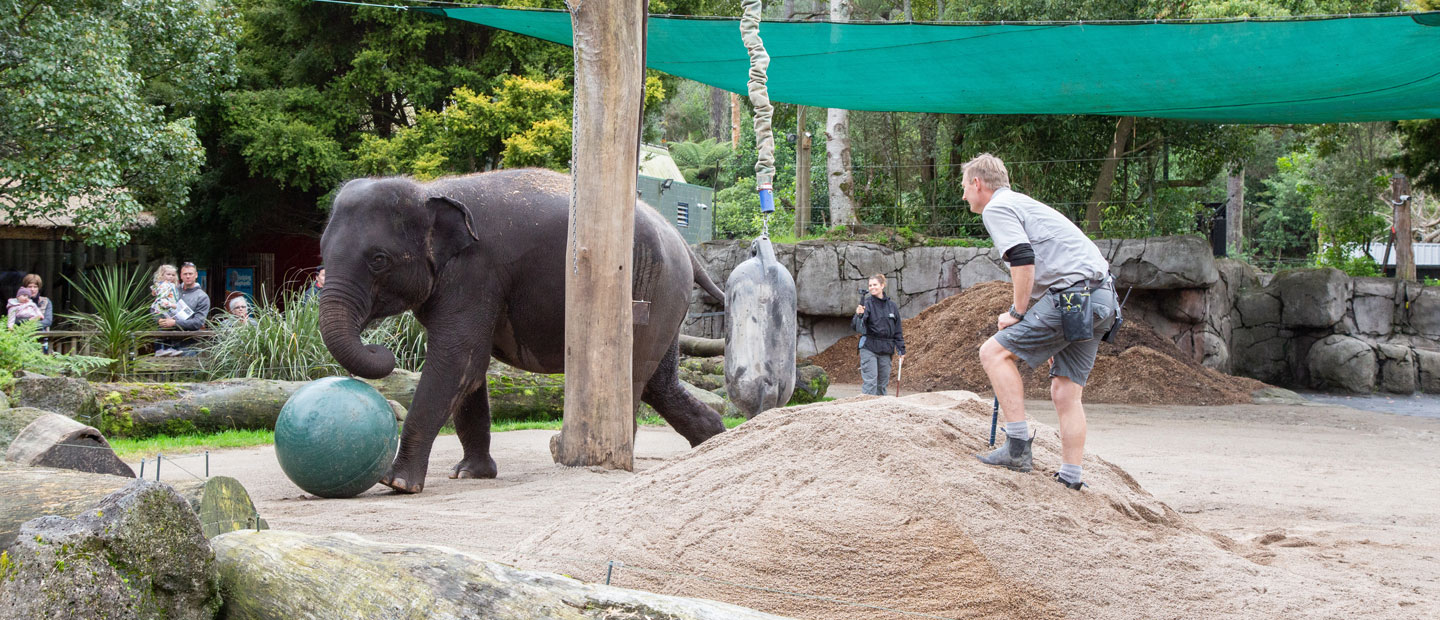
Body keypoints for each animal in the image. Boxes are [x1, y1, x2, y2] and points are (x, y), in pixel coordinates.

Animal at [318, 168, 727, 493]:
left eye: (378, 260)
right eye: (321, 251)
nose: (381, 350)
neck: (428, 190)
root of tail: (685, 245)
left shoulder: (474, 272)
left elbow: (458, 359)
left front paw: (397, 484)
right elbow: (470, 369)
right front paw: (471, 475)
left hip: (653, 290)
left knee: (635, 377)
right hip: (666, 299)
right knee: (661, 383)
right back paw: (716, 442)